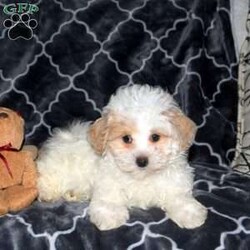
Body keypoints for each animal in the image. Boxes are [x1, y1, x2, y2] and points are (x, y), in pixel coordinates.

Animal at [37, 84, 208, 230]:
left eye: (155, 137)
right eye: (126, 138)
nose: (141, 161)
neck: (142, 177)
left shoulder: (175, 180)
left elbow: (179, 196)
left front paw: (189, 213)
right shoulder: (107, 181)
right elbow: (110, 197)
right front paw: (110, 214)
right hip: (58, 165)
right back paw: (47, 193)